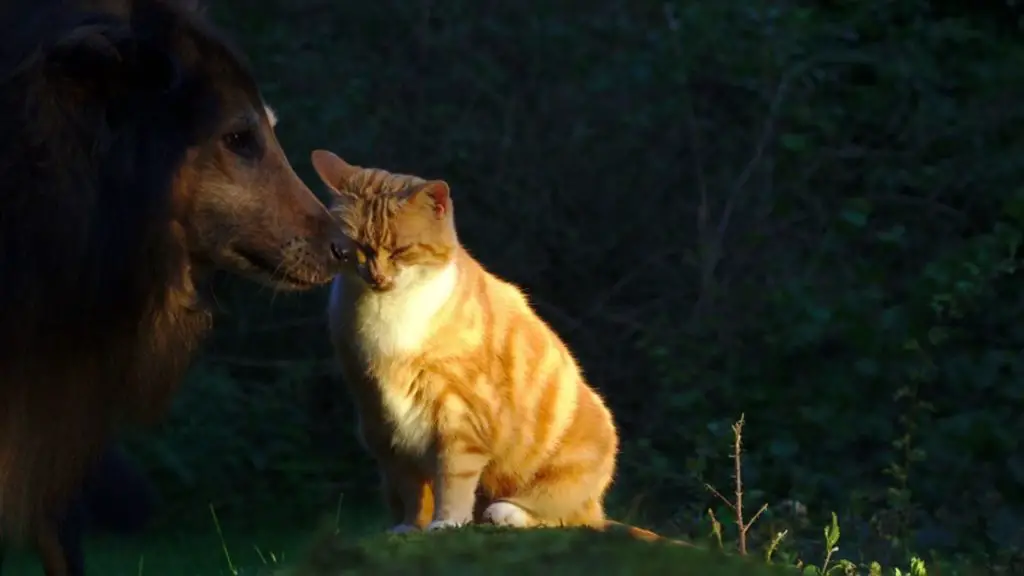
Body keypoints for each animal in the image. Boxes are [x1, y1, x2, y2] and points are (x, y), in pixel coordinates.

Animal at [313, 148, 688, 541]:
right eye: (355, 249)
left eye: (401, 251)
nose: (377, 277)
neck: (387, 314)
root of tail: (597, 508)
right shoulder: (383, 421)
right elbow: (413, 488)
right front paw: (411, 527)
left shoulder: (459, 415)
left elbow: (453, 477)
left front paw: (446, 522)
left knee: (563, 516)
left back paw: (506, 513)